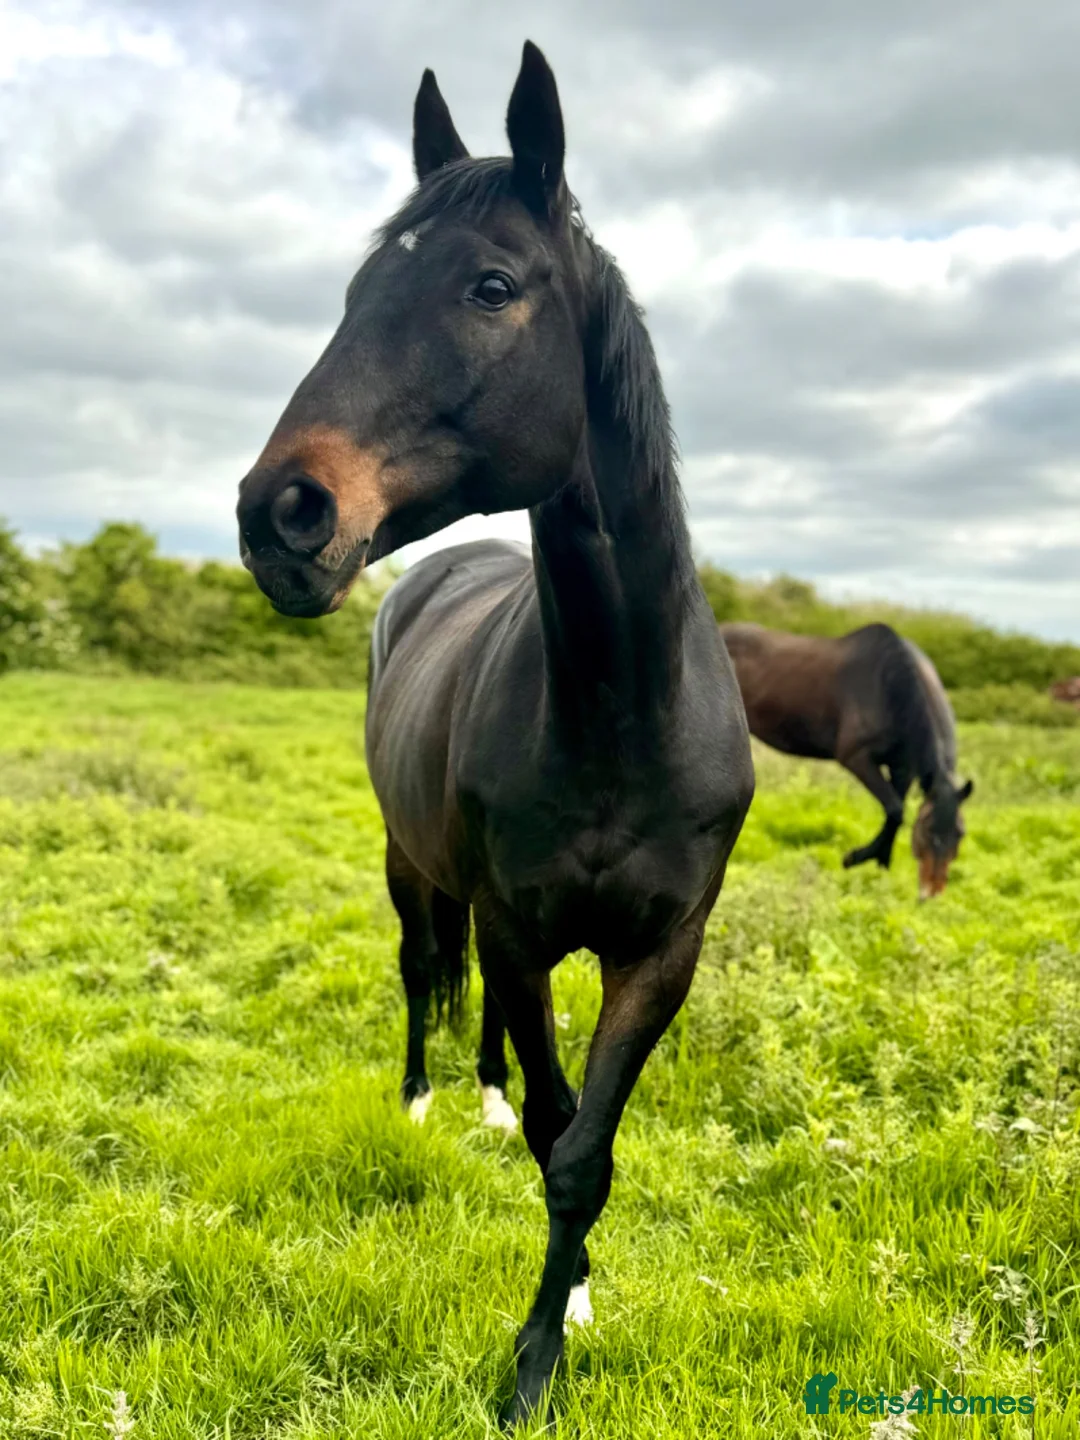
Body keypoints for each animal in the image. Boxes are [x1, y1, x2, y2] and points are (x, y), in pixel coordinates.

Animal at [235, 42, 754, 1427]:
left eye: (490, 286)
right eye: (358, 290)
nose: (280, 512)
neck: (623, 709)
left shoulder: (662, 955)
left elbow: (585, 1145)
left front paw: (566, 1313)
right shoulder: (522, 934)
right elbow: (555, 1126)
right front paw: (537, 1361)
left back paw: (470, 1096)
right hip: (409, 863)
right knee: (424, 968)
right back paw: (424, 1102)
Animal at [718, 621, 972, 898]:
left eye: (960, 833)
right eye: (928, 830)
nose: (932, 891)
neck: (891, 687)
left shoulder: (901, 767)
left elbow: (896, 813)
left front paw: (881, 867)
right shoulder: (856, 757)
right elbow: (895, 809)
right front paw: (856, 858)